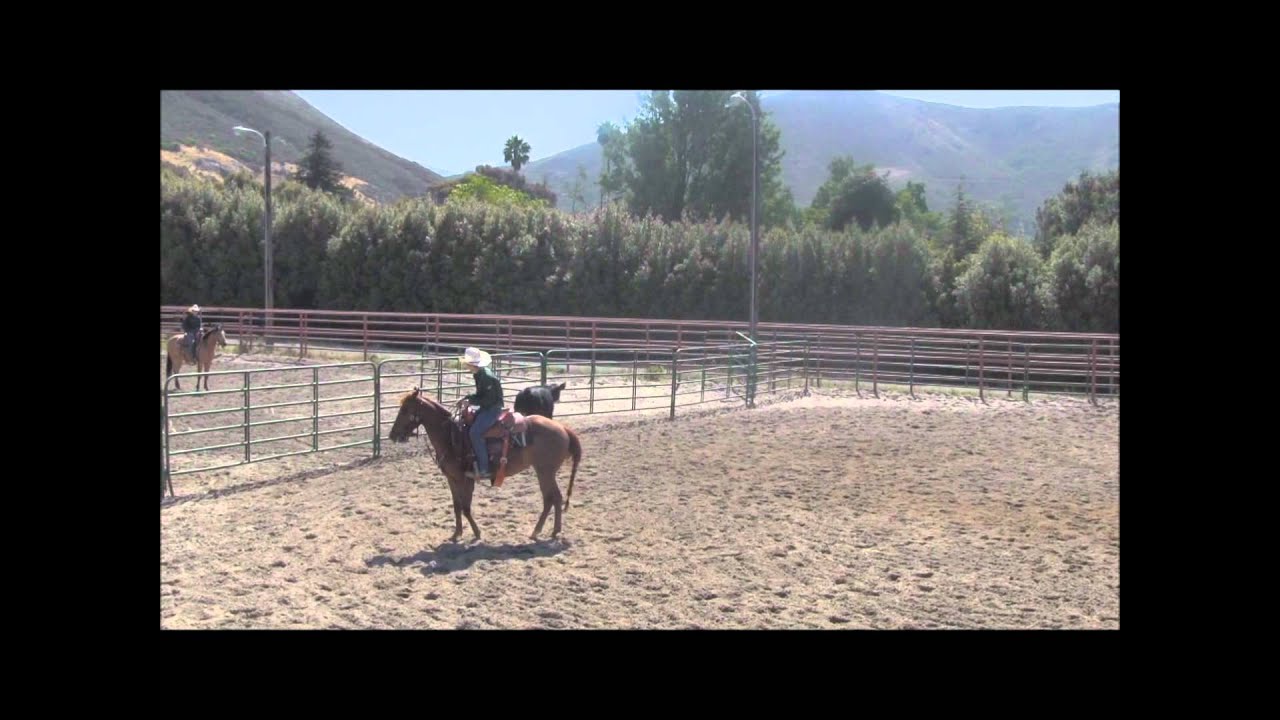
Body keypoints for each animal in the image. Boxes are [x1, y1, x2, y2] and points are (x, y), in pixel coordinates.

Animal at [387, 388, 583, 542]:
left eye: (405, 409)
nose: (392, 435)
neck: (450, 435)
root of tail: (563, 428)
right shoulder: (452, 479)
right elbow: (457, 506)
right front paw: (456, 534)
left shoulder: (466, 479)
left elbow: (466, 507)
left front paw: (476, 533)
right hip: (544, 472)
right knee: (551, 499)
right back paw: (547, 531)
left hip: (545, 471)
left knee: (553, 497)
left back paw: (545, 531)